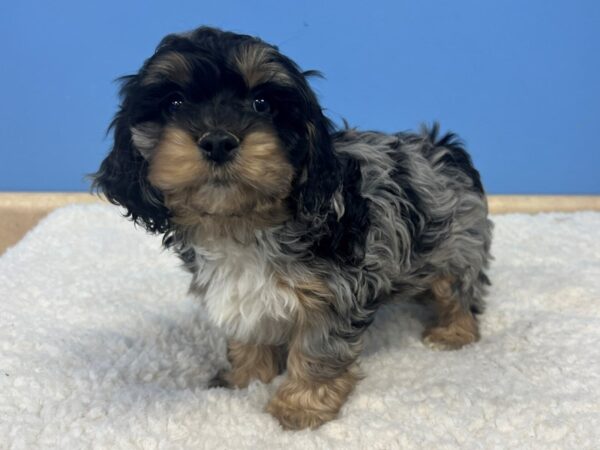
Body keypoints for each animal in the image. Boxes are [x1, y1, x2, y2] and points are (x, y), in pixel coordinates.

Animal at [95, 26, 492, 430]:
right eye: (174, 103)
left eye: (262, 103)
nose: (218, 141)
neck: (245, 223)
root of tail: (445, 149)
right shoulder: (245, 295)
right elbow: (249, 336)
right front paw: (246, 378)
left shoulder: (335, 294)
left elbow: (318, 350)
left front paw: (300, 405)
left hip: (459, 242)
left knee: (457, 290)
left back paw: (453, 332)